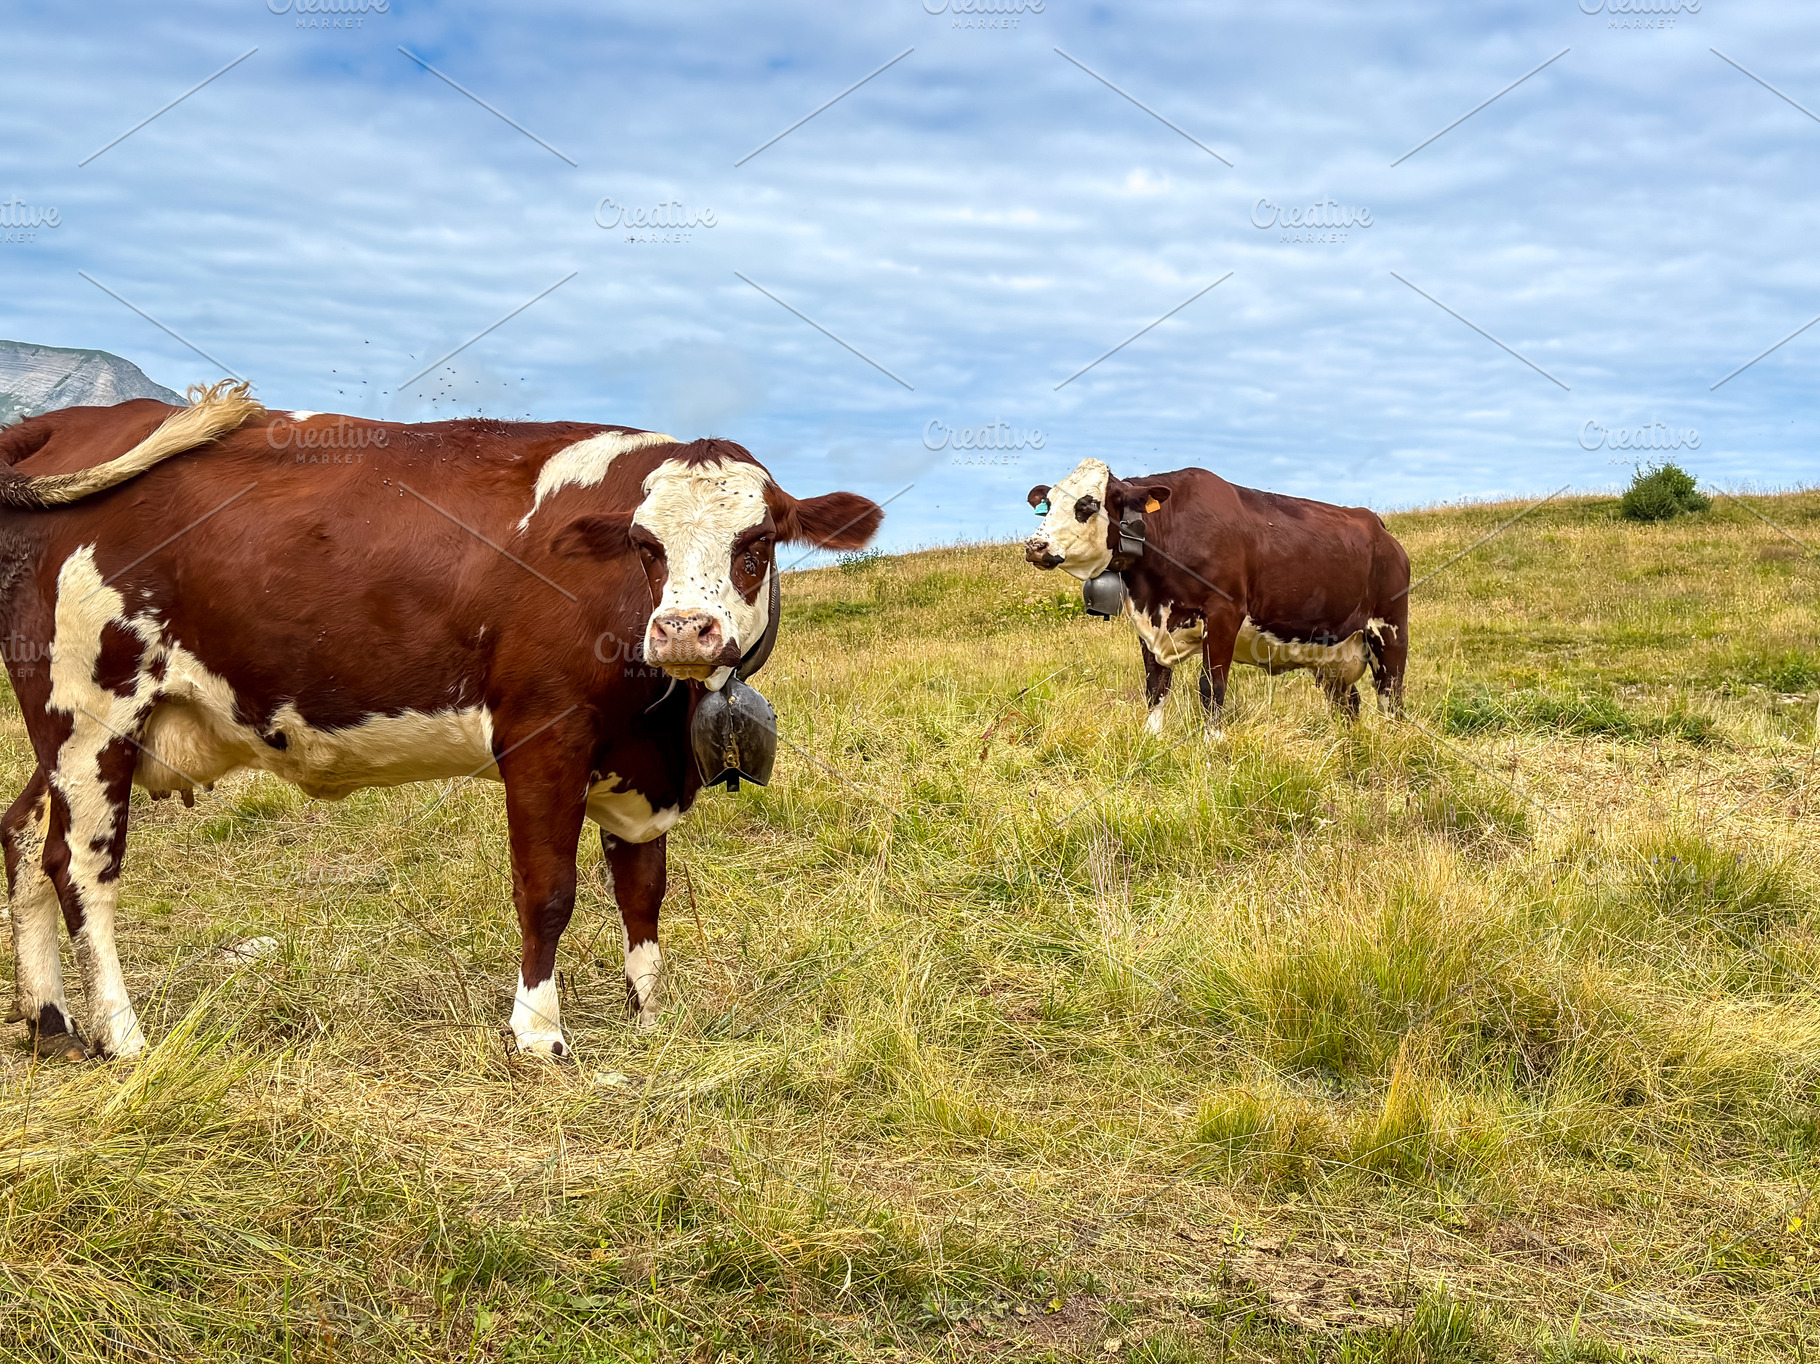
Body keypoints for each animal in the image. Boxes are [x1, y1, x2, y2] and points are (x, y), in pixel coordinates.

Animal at [0, 382, 882, 1061]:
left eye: (757, 541)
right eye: (645, 544)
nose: (684, 629)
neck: (660, 721)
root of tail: (70, 422)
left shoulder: (637, 769)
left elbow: (643, 891)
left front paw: (650, 1017)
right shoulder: (542, 739)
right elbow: (548, 892)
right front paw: (537, 1035)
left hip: (63, 738)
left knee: (23, 838)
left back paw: (51, 1023)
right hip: (91, 716)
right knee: (79, 868)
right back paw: (123, 1037)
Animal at [1023, 457, 1407, 735]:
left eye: (1087, 505)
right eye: (1048, 505)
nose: (1035, 545)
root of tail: (1379, 528)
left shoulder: (1224, 614)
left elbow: (1211, 688)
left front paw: (1213, 743)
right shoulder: (1147, 624)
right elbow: (1155, 688)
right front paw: (1151, 738)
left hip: (1388, 631)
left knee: (1391, 697)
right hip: (1332, 656)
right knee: (1349, 704)